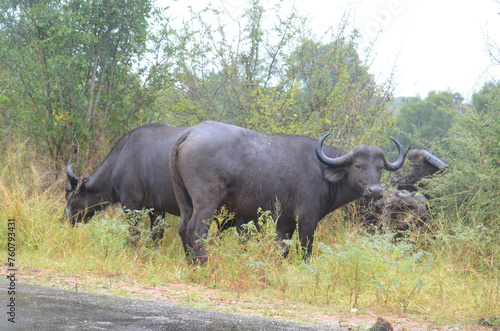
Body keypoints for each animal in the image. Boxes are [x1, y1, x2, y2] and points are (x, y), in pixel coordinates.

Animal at [170, 121, 408, 264]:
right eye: (358, 165)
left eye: (380, 167)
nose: (375, 190)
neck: (321, 170)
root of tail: (191, 132)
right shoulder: (307, 219)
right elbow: (305, 249)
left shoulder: (283, 222)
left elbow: (281, 249)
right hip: (206, 201)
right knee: (196, 230)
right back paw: (205, 263)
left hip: (184, 200)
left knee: (182, 228)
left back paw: (191, 263)